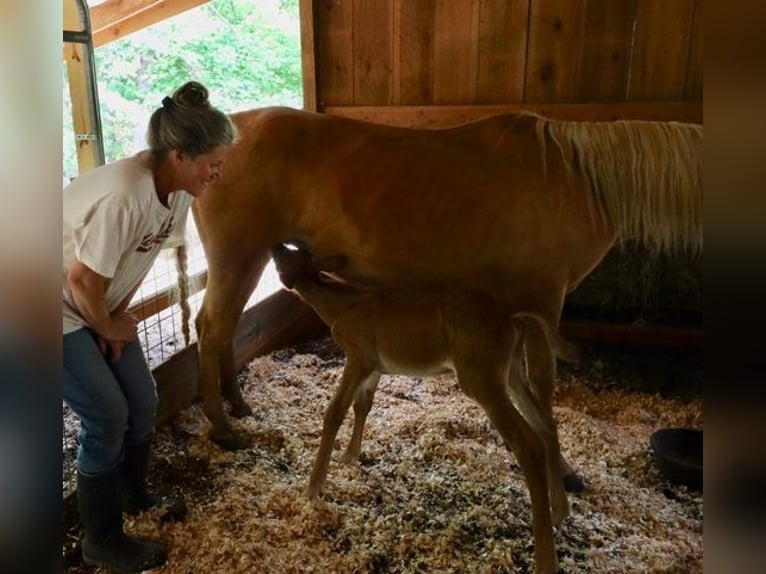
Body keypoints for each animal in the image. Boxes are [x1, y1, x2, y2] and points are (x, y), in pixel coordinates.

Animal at [186, 107, 704, 490]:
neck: (572, 177)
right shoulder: (543, 302)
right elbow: (542, 387)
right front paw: (563, 472)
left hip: (247, 262)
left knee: (221, 328)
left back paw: (237, 403)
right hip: (239, 259)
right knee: (212, 332)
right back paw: (224, 428)